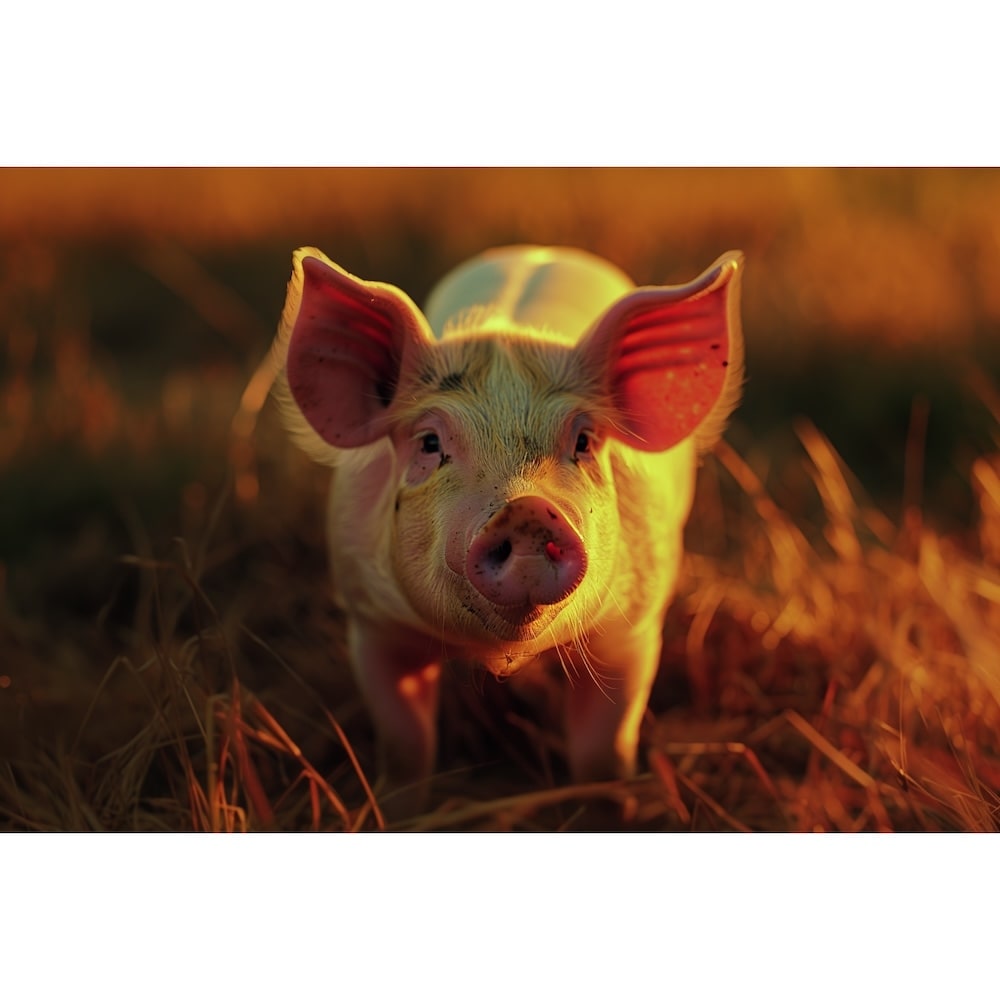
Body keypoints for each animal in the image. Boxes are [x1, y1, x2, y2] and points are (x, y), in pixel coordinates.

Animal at [272, 244, 744, 809]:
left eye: (584, 441)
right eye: (430, 443)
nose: (526, 510)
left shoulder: (631, 628)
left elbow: (603, 748)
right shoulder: (372, 620)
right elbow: (405, 742)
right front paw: (398, 808)